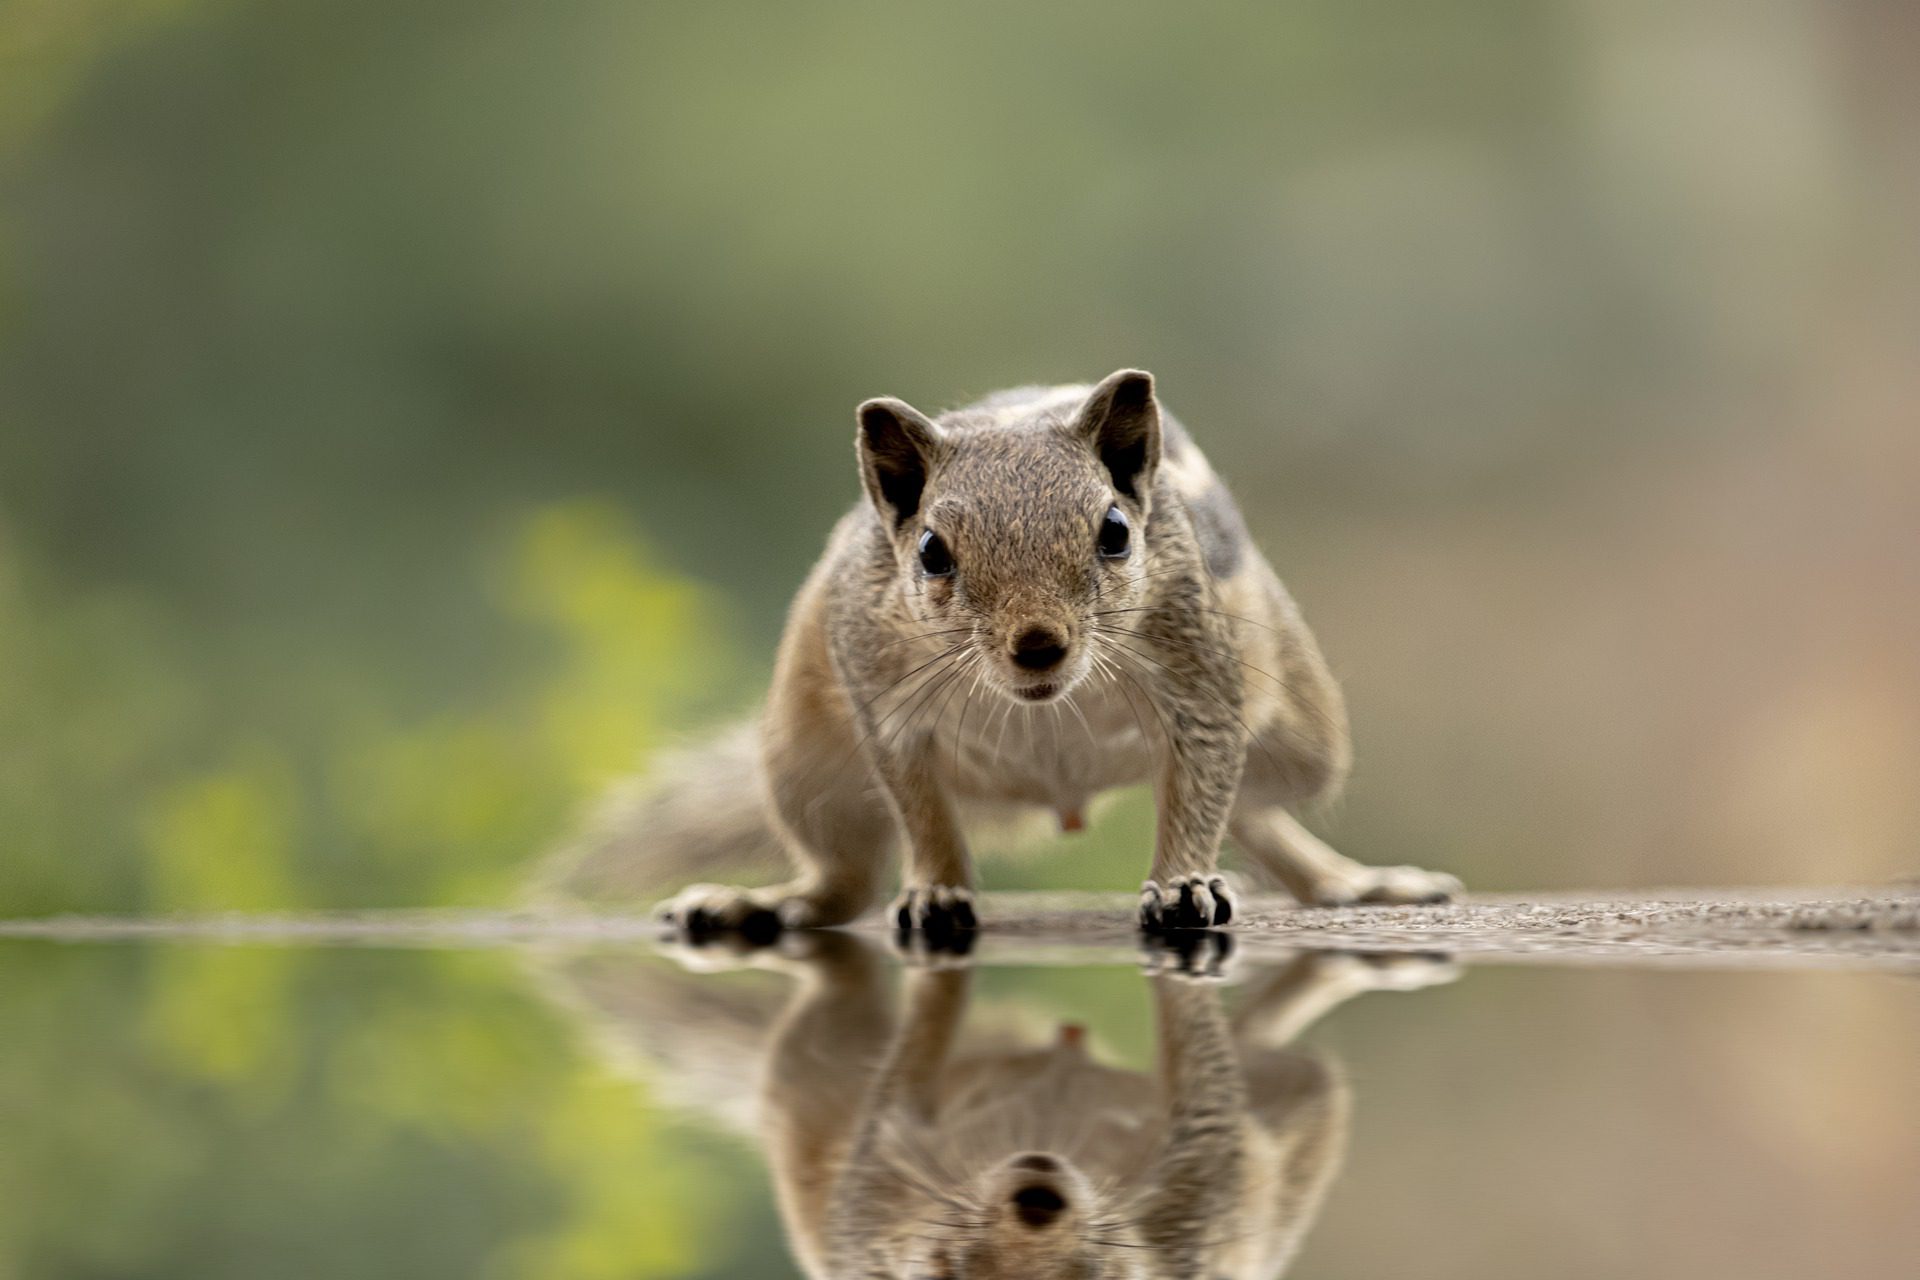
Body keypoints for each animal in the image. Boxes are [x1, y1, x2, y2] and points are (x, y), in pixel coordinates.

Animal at [560, 364, 1459, 936]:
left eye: (1115, 531)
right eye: (930, 551)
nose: (1038, 646)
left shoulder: (1201, 679)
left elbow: (1204, 786)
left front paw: (1182, 885)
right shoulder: (883, 706)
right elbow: (921, 814)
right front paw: (936, 893)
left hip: (1308, 743)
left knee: (1254, 806)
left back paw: (1346, 882)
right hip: (802, 766)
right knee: (842, 883)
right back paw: (765, 905)